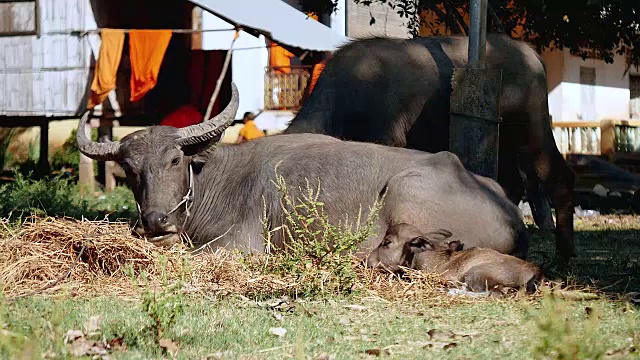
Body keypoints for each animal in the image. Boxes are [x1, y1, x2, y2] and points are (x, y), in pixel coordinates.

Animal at [75, 83, 528, 258]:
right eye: (129, 169)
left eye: (174, 159)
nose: (155, 221)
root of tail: (512, 215)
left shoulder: (240, 245)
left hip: (406, 191)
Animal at [284, 33, 576, 262]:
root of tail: (531, 55)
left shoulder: (386, 138)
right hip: (504, 144)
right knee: (512, 184)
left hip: (530, 130)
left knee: (559, 175)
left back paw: (564, 253)